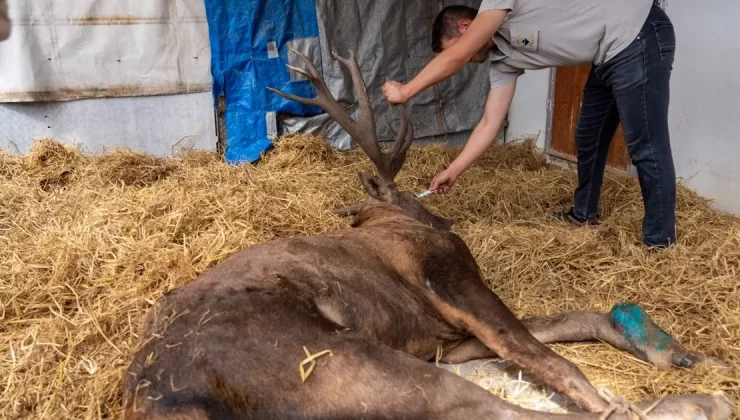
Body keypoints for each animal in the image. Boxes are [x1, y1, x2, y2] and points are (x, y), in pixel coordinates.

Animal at [123, 50, 736, 420]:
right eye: (414, 202)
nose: (442, 219)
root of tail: (159, 395)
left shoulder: (444, 335)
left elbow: (566, 323)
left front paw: (678, 352)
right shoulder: (449, 279)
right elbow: (544, 355)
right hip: (342, 363)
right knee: (507, 410)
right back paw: (698, 404)